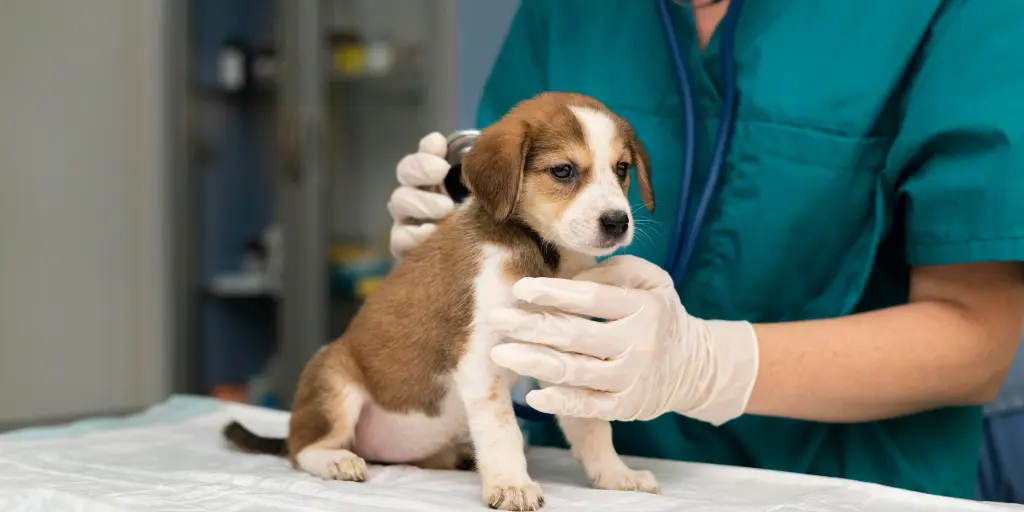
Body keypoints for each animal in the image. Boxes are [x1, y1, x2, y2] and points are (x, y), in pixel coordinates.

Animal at [221, 92, 659, 512]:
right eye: (563, 171)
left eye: (622, 169)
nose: (617, 222)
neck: (542, 252)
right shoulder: (480, 362)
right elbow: (504, 431)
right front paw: (512, 484)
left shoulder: (564, 356)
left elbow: (592, 426)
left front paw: (615, 474)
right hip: (333, 378)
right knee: (302, 450)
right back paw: (336, 460)